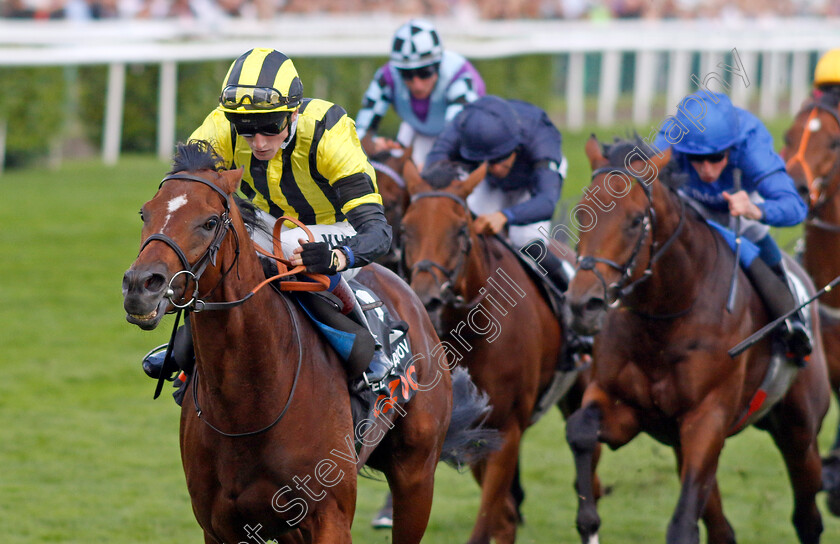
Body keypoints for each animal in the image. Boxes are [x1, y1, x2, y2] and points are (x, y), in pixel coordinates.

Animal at [123, 142, 480, 540]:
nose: (140, 286)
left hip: (416, 475)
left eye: (210, 222)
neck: (248, 404)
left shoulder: (330, 518)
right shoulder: (219, 527)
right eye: (145, 213)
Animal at [400, 159, 592, 540]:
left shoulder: (507, 430)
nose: (427, 298)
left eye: (461, 230)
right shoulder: (473, 432)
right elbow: (501, 518)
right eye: (406, 228)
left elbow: (486, 522)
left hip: (580, 390)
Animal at [568, 137, 832, 544]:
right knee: (723, 528)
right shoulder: (621, 404)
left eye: (634, 221)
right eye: (582, 214)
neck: (666, 318)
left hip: (799, 428)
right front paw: (589, 521)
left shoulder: (708, 417)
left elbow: (681, 527)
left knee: (807, 516)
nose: (584, 304)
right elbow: (579, 430)